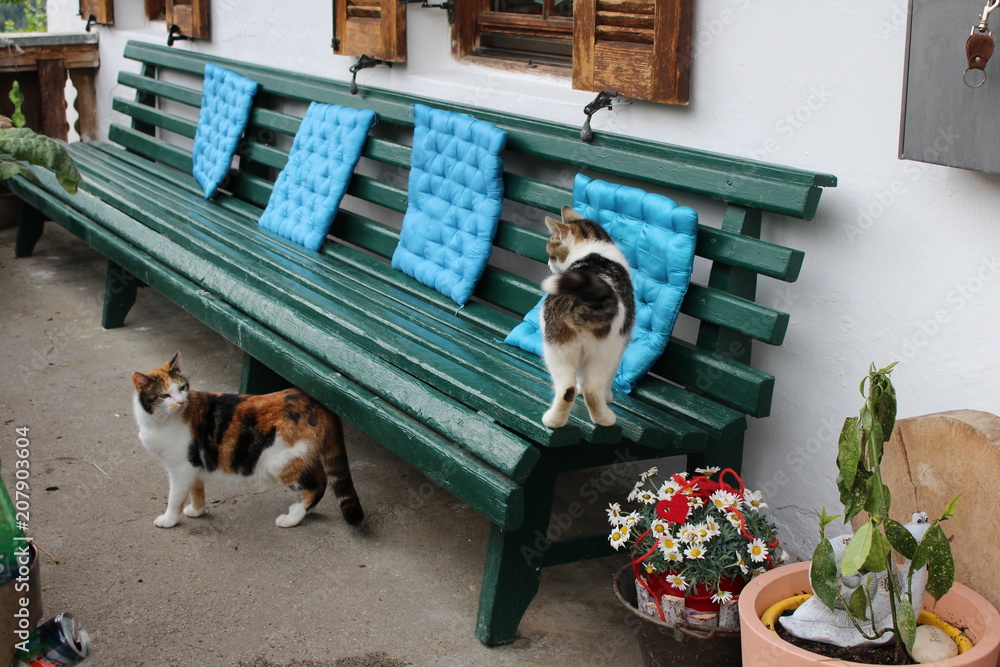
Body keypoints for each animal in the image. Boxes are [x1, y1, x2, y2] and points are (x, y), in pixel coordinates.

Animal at [131, 353, 364, 529]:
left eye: (181, 388)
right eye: (164, 395)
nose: (181, 401)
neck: (158, 421)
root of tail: (320, 405)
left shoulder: (181, 467)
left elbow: (175, 497)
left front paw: (169, 519)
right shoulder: (194, 465)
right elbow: (197, 490)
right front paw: (197, 511)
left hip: (282, 461)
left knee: (317, 484)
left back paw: (291, 518)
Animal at [540, 206, 635, 429]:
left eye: (552, 255)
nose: (548, 263)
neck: (592, 246)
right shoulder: (622, 344)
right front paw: (607, 397)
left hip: (557, 349)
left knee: (567, 389)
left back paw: (553, 421)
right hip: (606, 351)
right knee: (592, 389)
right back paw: (606, 419)